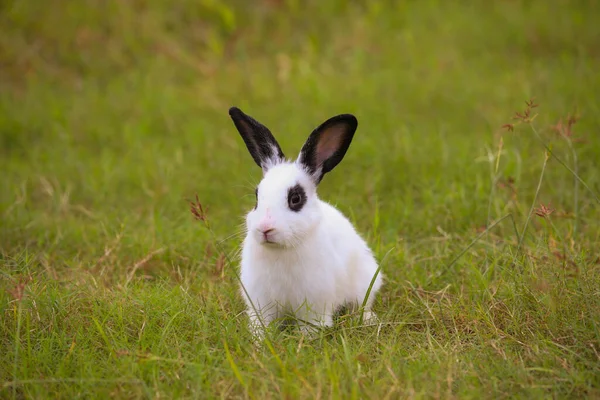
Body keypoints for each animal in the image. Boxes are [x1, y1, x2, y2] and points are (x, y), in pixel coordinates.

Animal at [227, 106, 382, 338]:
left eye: (295, 199)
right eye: (257, 197)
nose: (265, 228)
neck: (281, 250)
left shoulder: (315, 303)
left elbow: (311, 325)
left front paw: (306, 339)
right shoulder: (261, 302)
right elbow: (262, 323)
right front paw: (260, 339)